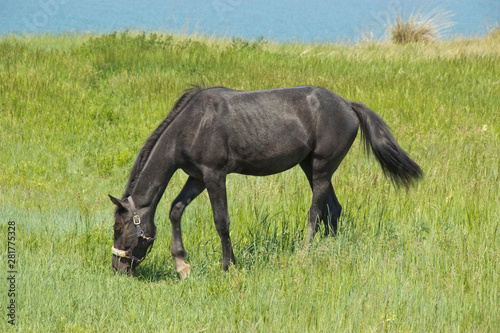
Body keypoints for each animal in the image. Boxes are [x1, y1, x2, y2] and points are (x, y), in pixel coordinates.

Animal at [108, 84, 422, 276]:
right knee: (333, 209)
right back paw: (328, 248)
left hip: (321, 169)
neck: (192, 125)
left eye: (117, 228)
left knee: (315, 211)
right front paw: (182, 265)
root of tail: (347, 104)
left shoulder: (215, 174)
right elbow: (176, 210)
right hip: (310, 167)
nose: (117, 268)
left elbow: (221, 221)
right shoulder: (197, 177)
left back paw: (304, 253)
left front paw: (228, 267)